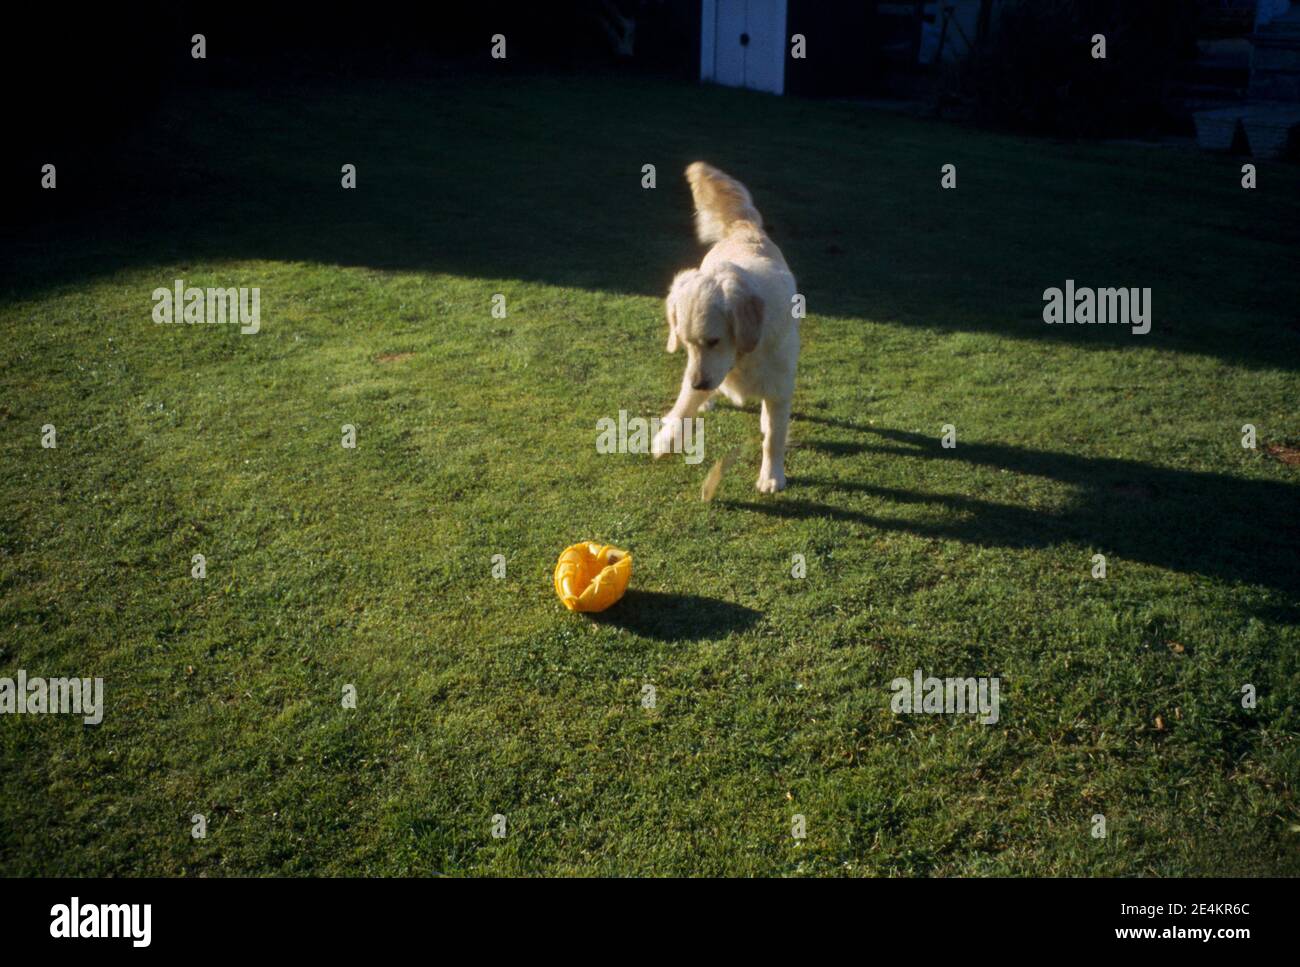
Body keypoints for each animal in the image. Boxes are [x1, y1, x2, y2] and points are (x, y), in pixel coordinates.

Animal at [650, 162, 800, 491]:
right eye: (686, 343)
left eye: (714, 341)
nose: (698, 384)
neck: (744, 354)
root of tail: (744, 228)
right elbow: (683, 407)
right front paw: (667, 439)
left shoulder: (780, 386)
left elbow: (774, 437)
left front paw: (771, 476)